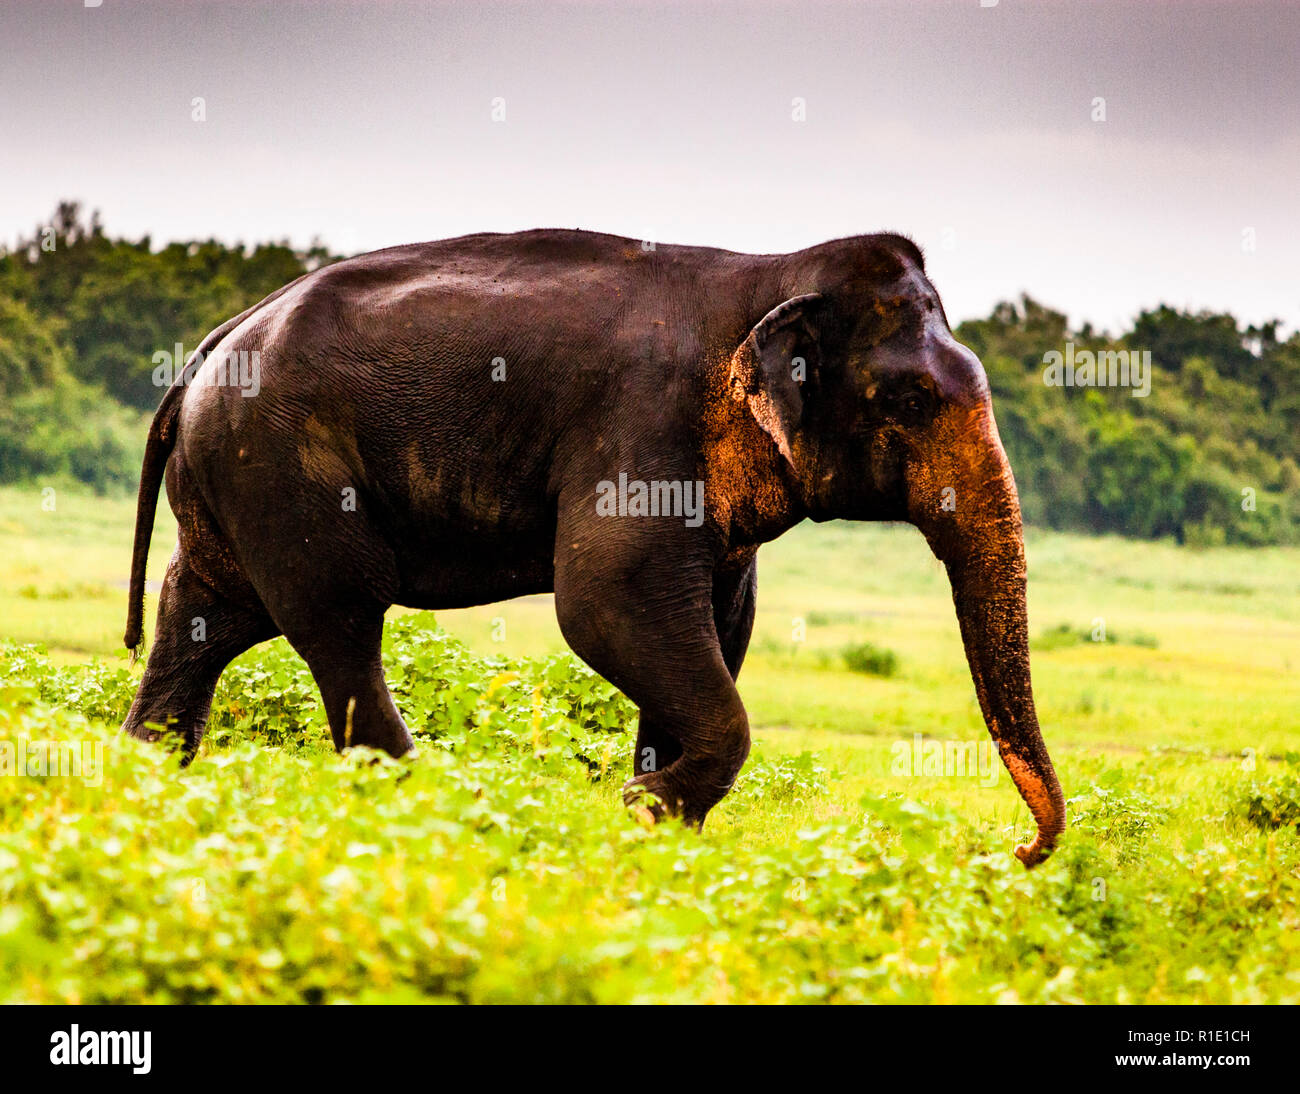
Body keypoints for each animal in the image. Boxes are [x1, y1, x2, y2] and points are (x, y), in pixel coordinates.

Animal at [124, 226, 1066, 867]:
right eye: (910, 403)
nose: (1018, 853)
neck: (771, 273)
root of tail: (214, 342)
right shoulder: (644, 428)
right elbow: (605, 605)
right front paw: (643, 802)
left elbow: (721, 626)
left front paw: (658, 822)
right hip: (283, 465)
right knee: (340, 617)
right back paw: (430, 805)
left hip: (233, 484)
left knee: (204, 617)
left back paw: (146, 775)